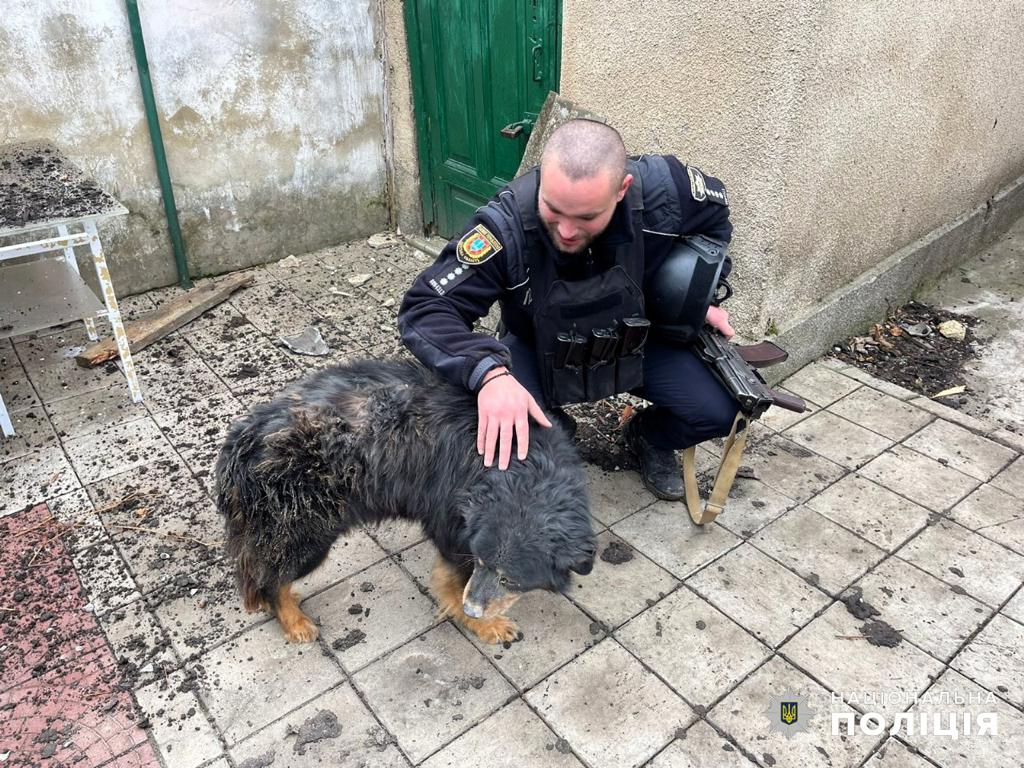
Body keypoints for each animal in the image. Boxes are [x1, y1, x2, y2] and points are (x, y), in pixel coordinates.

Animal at [218, 360, 598, 643]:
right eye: (482, 562)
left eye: (510, 580)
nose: (473, 610)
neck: (520, 464)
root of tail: (241, 441)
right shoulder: (451, 526)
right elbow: (456, 580)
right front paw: (479, 623)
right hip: (306, 534)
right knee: (272, 579)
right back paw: (293, 620)